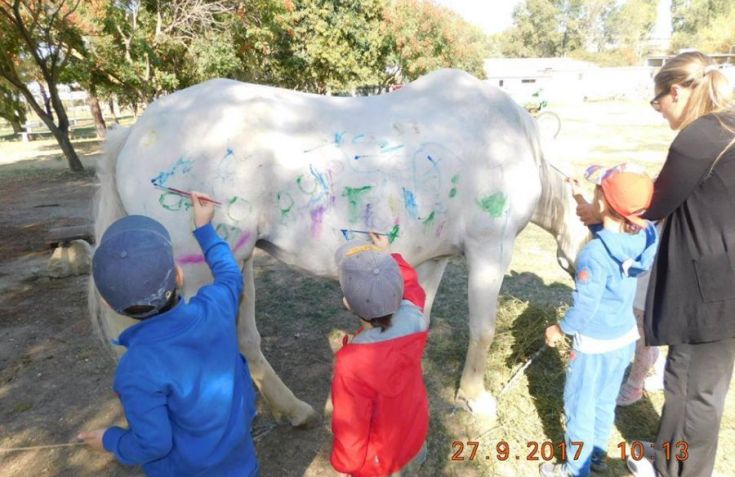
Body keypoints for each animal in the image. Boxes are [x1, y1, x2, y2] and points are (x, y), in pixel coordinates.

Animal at [90, 69, 588, 424]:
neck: (511, 141)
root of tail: (135, 131)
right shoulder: (490, 249)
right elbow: (482, 328)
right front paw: (473, 399)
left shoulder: (434, 259)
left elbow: (420, 320)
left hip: (237, 261)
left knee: (245, 338)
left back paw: (290, 410)